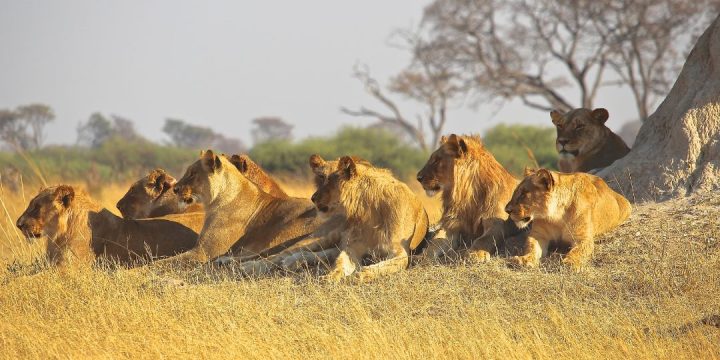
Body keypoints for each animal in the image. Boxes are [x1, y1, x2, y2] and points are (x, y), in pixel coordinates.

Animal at [416, 134, 524, 262]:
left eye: (437, 160)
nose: (418, 177)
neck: (468, 197)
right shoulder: (452, 226)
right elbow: (434, 242)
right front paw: (422, 257)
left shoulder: (497, 224)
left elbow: (484, 239)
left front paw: (475, 254)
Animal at [504, 169, 632, 270]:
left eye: (523, 194)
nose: (507, 210)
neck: (557, 216)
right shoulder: (538, 235)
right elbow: (531, 247)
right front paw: (524, 260)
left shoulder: (583, 238)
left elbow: (578, 251)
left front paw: (570, 262)